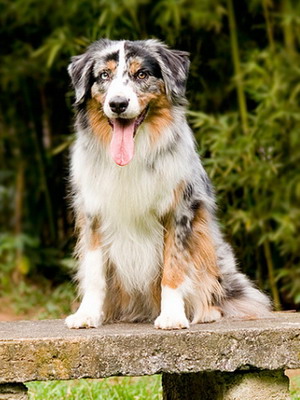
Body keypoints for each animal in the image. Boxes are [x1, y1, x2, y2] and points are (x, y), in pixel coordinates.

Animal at [64, 39, 270, 330]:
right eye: (104, 75)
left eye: (141, 74)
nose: (118, 103)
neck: (133, 155)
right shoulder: (93, 213)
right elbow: (94, 272)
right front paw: (87, 314)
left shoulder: (180, 212)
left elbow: (173, 268)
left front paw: (172, 315)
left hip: (215, 249)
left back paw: (207, 311)